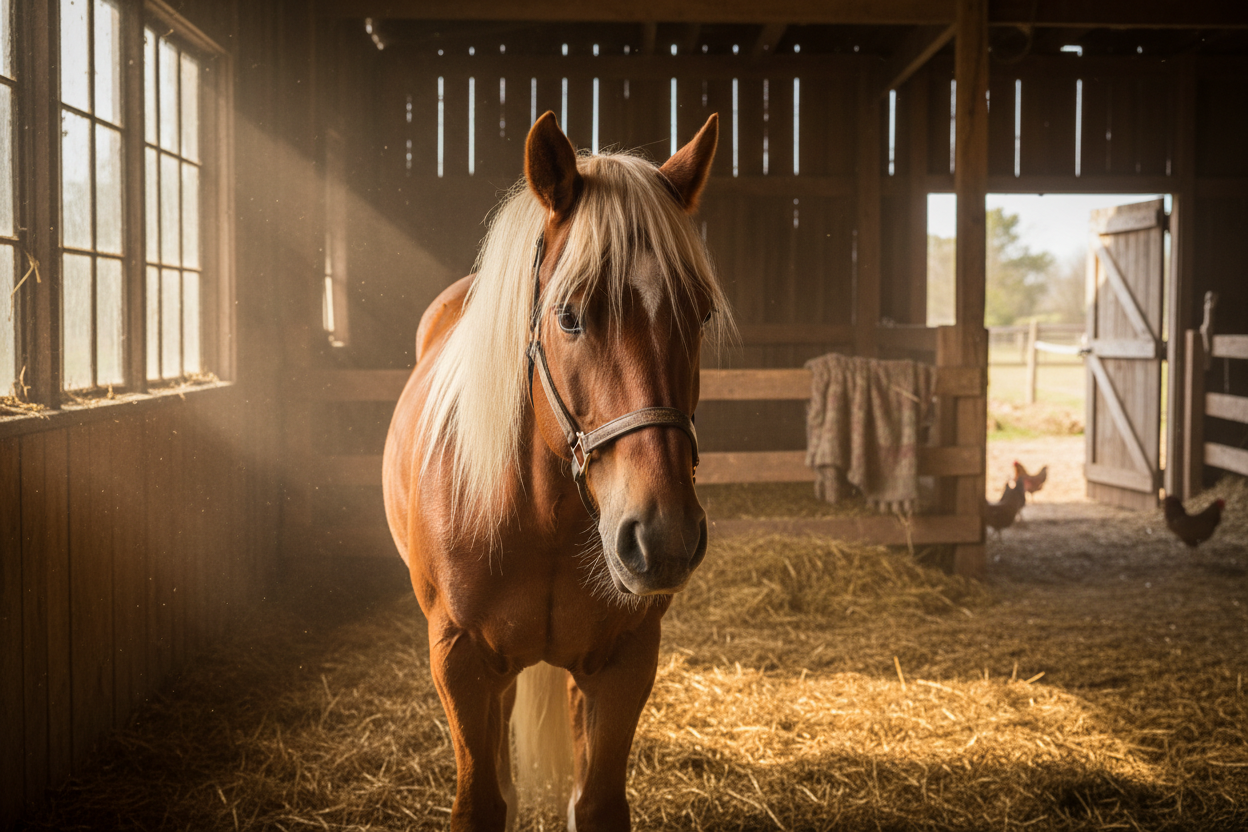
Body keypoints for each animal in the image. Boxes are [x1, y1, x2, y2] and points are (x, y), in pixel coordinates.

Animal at [382, 110, 731, 831]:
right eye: (569, 315)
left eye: (700, 313)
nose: (663, 537)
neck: (539, 516)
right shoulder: (459, 660)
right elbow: (482, 802)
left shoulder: (625, 661)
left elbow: (594, 804)